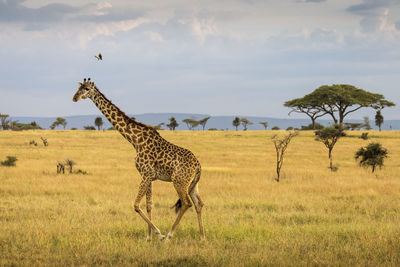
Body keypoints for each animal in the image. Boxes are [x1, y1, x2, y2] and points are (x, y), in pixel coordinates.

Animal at [72, 78, 205, 243]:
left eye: (86, 89)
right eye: (78, 88)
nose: (75, 98)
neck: (135, 140)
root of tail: (198, 165)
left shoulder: (146, 174)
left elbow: (136, 205)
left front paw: (159, 234)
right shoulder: (149, 176)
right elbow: (149, 205)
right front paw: (148, 238)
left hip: (179, 180)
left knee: (186, 203)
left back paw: (169, 235)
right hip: (192, 183)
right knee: (199, 204)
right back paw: (202, 238)